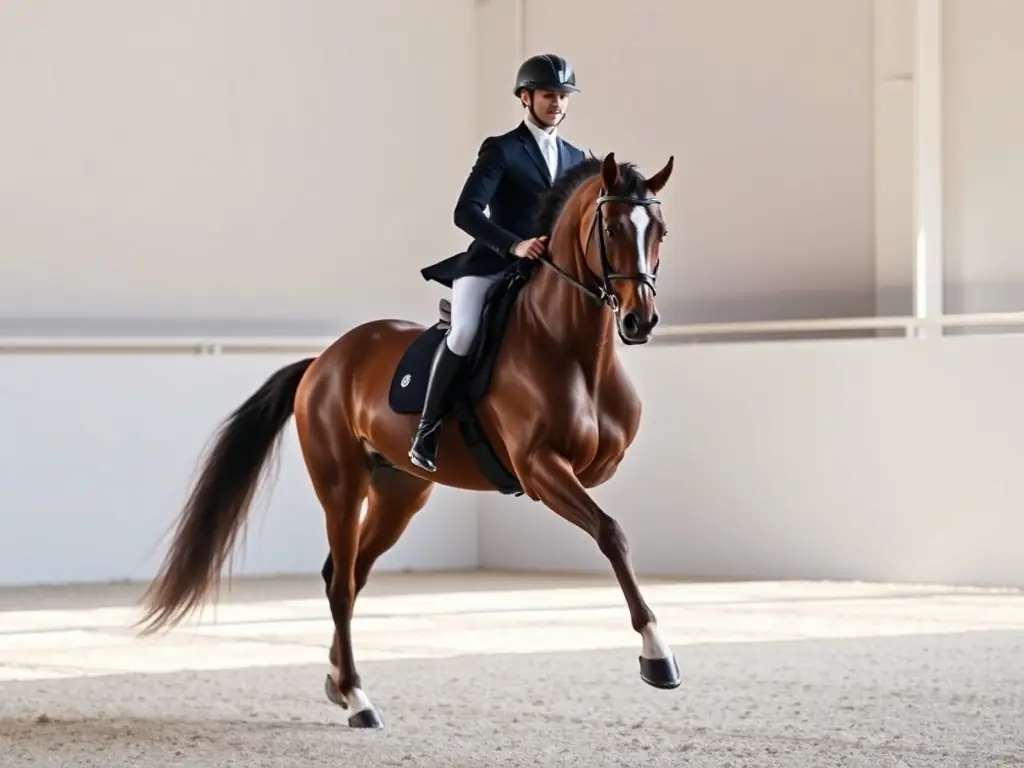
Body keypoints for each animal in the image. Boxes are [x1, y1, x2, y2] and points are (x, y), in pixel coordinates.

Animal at [134, 150, 678, 729]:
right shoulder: (538, 469)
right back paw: (357, 698)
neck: (570, 347)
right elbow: (611, 532)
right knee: (341, 582)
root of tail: (323, 362)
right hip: (341, 487)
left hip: (400, 495)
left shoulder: (594, 466)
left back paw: (337, 682)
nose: (640, 321)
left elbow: (608, 519)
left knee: (349, 574)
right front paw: (657, 656)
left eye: (660, 230)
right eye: (612, 227)